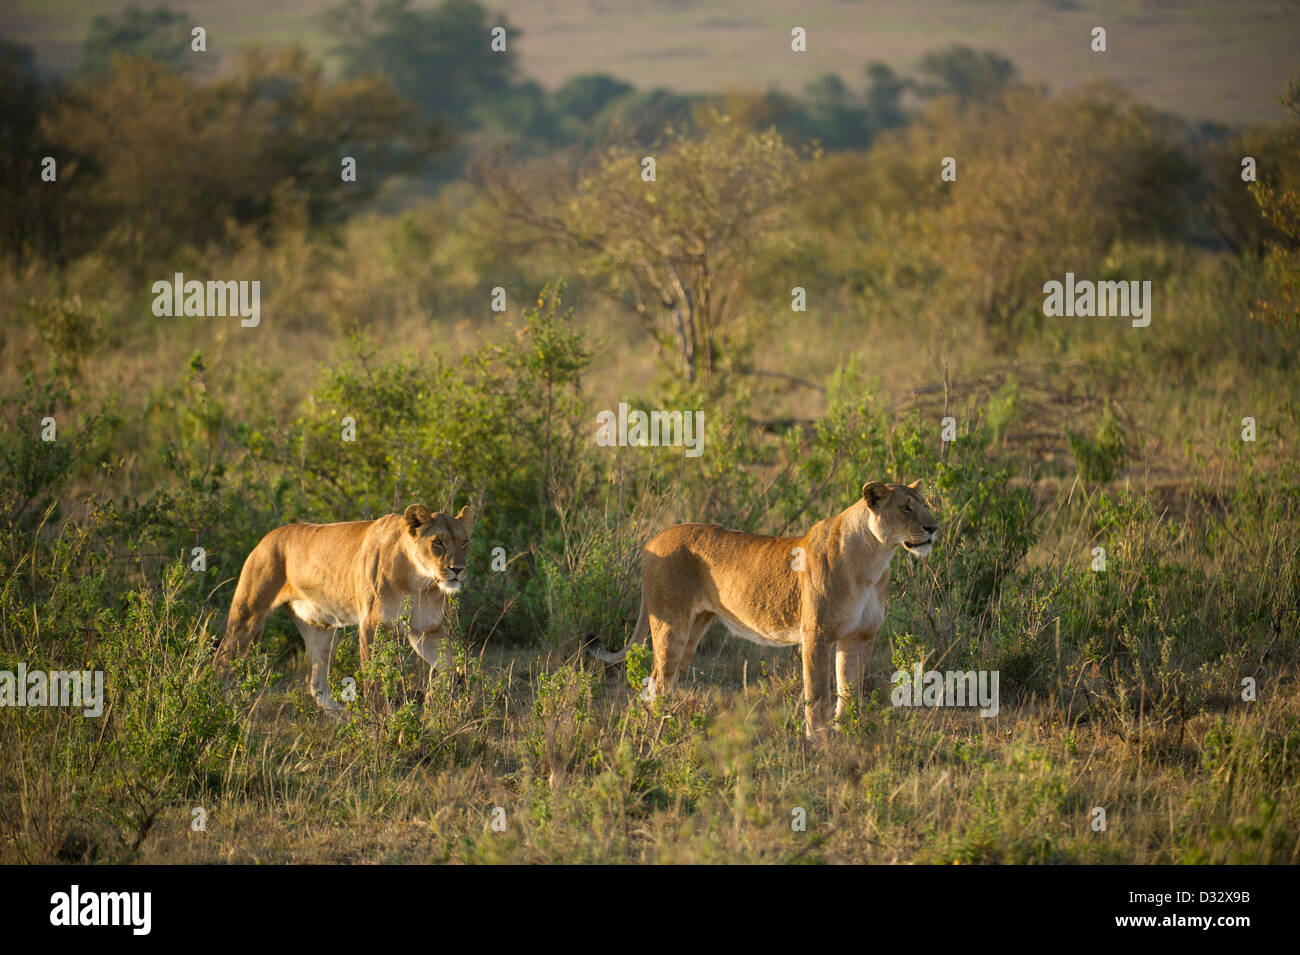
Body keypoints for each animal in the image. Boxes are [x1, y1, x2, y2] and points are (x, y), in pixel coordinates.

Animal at [214, 504, 473, 711]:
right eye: (437, 543)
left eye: (464, 542)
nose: (458, 569)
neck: (418, 582)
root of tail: (267, 536)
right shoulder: (372, 625)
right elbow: (374, 678)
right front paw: (381, 720)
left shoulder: (426, 630)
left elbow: (451, 665)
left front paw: (435, 696)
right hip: (248, 614)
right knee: (222, 662)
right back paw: (221, 707)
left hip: (321, 629)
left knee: (315, 681)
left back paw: (341, 716)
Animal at [587, 481, 937, 737]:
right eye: (905, 507)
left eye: (926, 505)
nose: (933, 528)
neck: (873, 560)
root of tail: (652, 540)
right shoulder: (816, 634)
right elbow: (818, 693)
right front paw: (817, 742)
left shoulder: (859, 637)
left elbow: (849, 691)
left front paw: (848, 734)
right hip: (671, 625)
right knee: (656, 681)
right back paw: (659, 731)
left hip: (693, 629)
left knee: (666, 681)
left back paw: (671, 724)